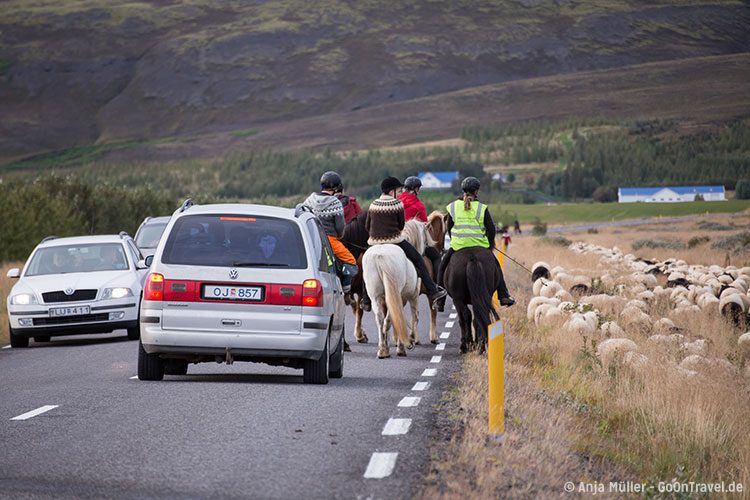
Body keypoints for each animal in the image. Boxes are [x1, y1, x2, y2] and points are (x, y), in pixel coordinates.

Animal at [364, 221, 428, 358]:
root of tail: (380, 255)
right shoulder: (411, 297)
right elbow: (412, 316)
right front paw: (404, 344)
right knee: (389, 319)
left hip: (376, 296)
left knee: (380, 319)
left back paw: (382, 350)